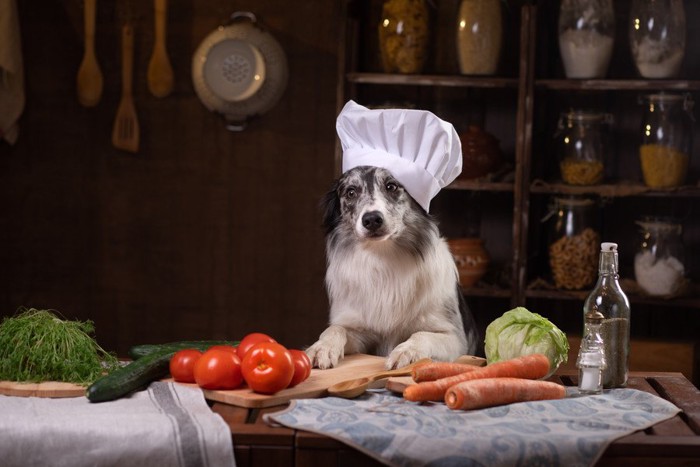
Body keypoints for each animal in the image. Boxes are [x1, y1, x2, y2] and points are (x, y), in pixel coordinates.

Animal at [308, 166, 482, 372]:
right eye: (351, 192)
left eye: (391, 186)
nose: (372, 219)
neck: (384, 257)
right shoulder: (360, 331)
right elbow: (335, 328)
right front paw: (322, 348)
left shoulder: (454, 337)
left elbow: (421, 334)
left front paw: (406, 351)